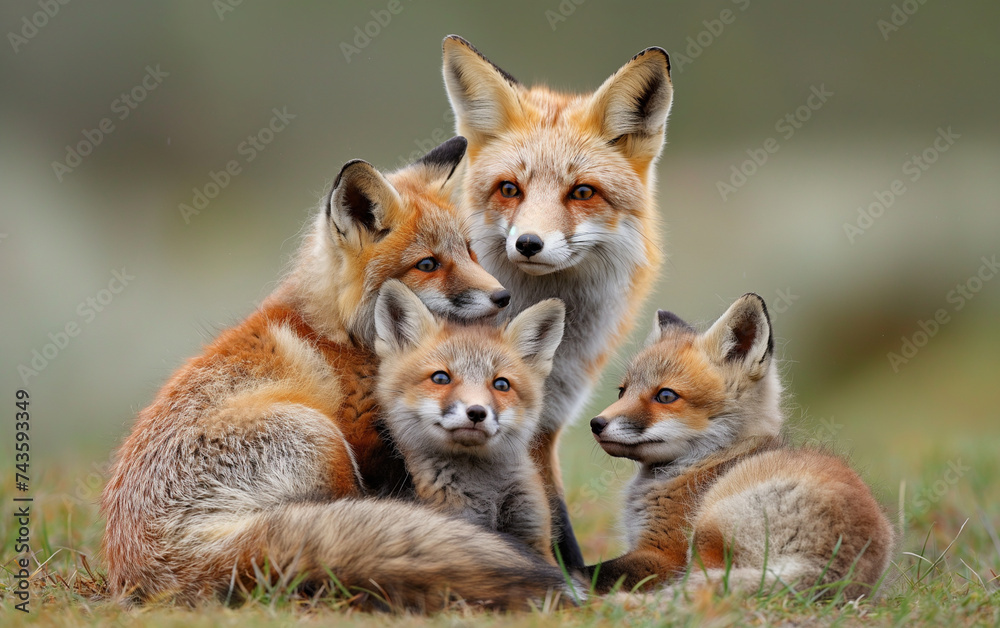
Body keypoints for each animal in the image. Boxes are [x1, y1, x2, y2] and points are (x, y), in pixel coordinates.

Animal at [587, 294, 895, 599]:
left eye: (665, 396)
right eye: (622, 391)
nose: (596, 423)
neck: (709, 460)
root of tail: (828, 570)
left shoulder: (664, 553)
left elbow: (593, 569)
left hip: (708, 528)